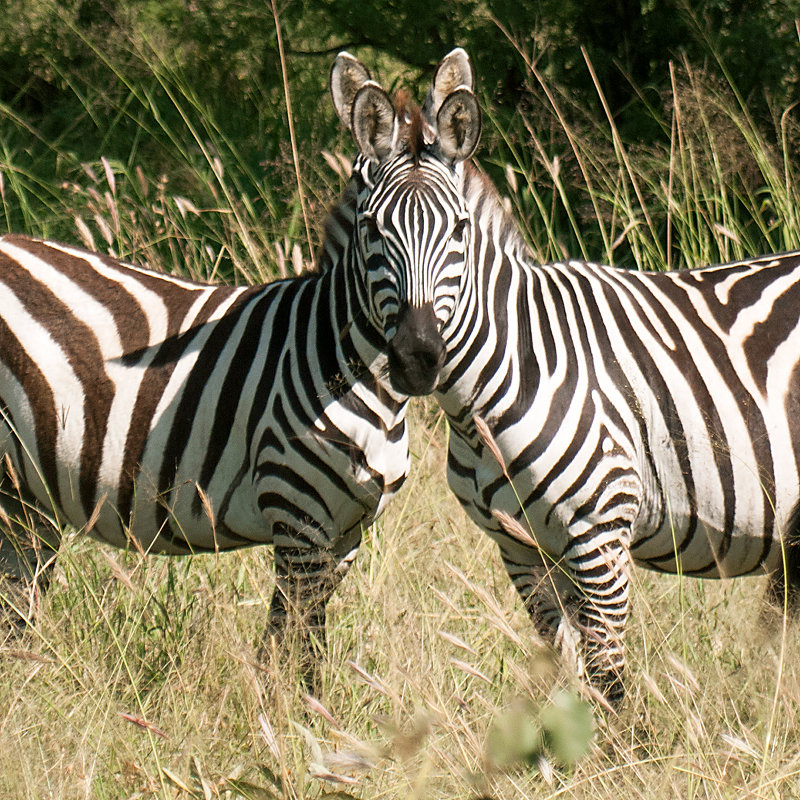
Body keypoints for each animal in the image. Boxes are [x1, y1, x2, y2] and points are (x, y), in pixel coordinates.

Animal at [0, 56, 418, 684]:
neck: (332, 353)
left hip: (24, 495)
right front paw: (280, 710)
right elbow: (286, 650)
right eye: (373, 225)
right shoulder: (299, 523)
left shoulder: (345, 534)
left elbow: (308, 651)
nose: (420, 350)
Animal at [346, 48, 800, 700]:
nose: (416, 357)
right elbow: (563, 671)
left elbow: (608, 679)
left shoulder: (599, 535)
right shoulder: (523, 549)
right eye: (371, 229)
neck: (488, 396)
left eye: (459, 229)